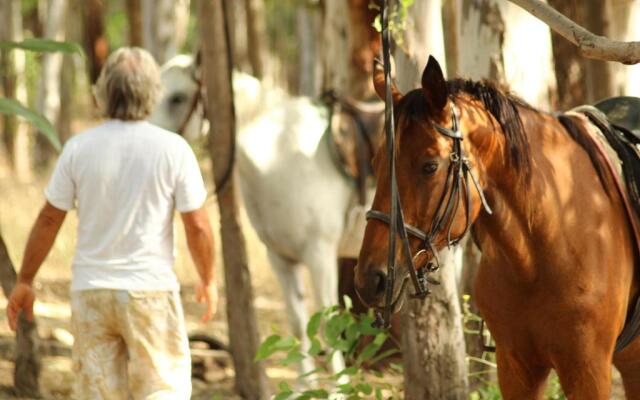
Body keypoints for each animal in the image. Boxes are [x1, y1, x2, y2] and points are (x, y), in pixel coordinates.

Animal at [149, 55, 370, 378]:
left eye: (177, 97)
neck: (281, 153)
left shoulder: (320, 254)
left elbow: (327, 327)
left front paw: (338, 387)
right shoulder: (280, 257)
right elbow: (299, 326)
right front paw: (305, 385)